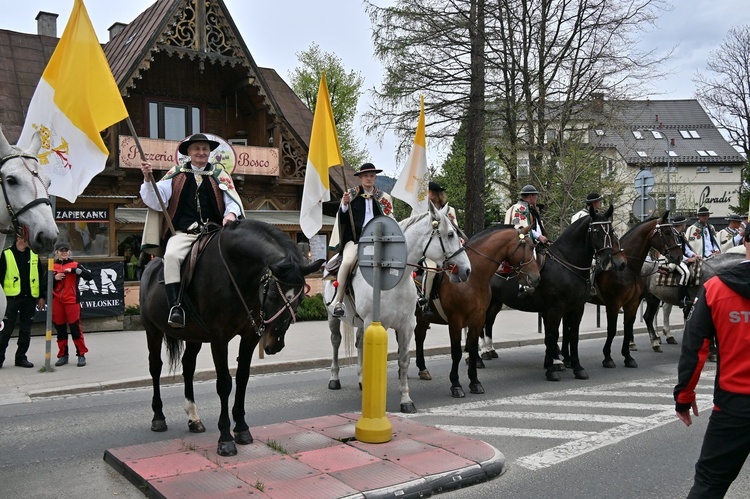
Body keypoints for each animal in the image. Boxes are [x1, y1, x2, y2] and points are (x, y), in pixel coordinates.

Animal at [141, 221, 324, 456]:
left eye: (300, 299)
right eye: (274, 294)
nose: (274, 344)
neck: (236, 273)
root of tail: (151, 266)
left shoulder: (249, 336)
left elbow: (242, 378)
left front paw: (242, 429)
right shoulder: (219, 338)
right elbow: (224, 383)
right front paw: (226, 438)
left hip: (194, 336)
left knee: (188, 367)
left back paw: (193, 418)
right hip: (152, 330)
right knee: (155, 367)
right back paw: (158, 417)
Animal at [328, 203, 472, 414]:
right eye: (451, 234)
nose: (467, 270)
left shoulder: (406, 326)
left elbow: (403, 360)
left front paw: (406, 400)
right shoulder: (375, 323)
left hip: (361, 323)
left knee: (359, 343)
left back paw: (362, 379)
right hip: (333, 318)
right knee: (336, 342)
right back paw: (334, 378)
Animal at [414, 225, 544, 396]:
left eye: (533, 246)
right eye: (527, 246)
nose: (536, 278)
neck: (473, 278)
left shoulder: (478, 318)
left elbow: (473, 348)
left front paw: (474, 381)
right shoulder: (455, 320)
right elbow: (456, 352)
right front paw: (456, 384)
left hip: (422, 318)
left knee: (419, 336)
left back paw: (423, 369)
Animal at [588, 209, 688, 370]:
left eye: (675, 232)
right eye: (667, 232)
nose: (678, 256)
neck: (627, 268)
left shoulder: (633, 302)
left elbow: (628, 326)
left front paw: (628, 357)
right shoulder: (613, 304)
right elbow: (612, 329)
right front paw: (608, 357)